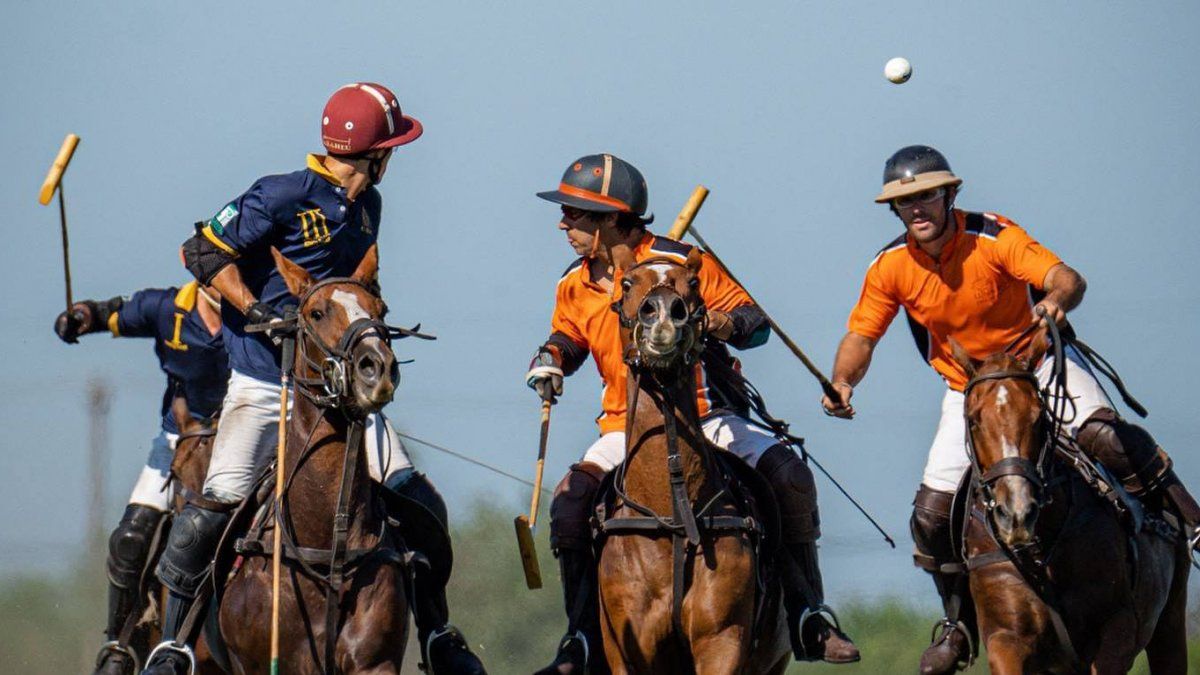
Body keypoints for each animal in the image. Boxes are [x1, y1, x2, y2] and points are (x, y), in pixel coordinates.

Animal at [597, 252, 787, 672]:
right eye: (628, 284)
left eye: (694, 283)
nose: (665, 315)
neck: (672, 516)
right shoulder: (630, 650)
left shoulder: (722, 639)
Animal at [950, 331, 1185, 672]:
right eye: (973, 419)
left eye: (1039, 416)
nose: (1017, 513)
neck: (1040, 553)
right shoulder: (1005, 638)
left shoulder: (1118, 628)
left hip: (1170, 621)